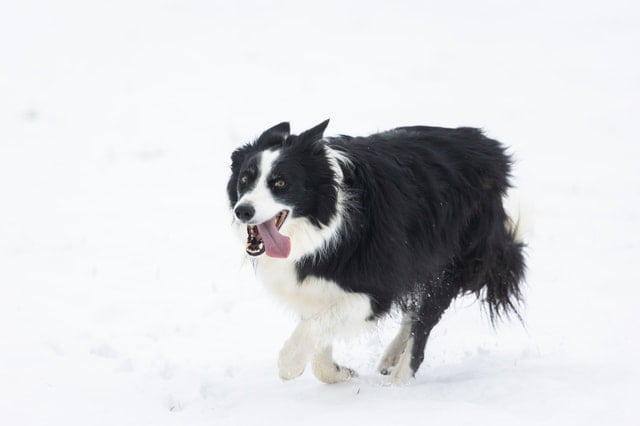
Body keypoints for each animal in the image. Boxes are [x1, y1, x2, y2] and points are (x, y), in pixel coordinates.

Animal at [228, 120, 528, 386]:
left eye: (280, 183)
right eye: (245, 179)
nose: (243, 211)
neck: (329, 219)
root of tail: (489, 147)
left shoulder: (376, 290)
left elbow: (312, 328)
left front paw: (290, 365)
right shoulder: (317, 286)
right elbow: (318, 333)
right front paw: (339, 373)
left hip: (450, 258)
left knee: (425, 319)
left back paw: (398, 381)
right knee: (415, 308)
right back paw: (391, 357)